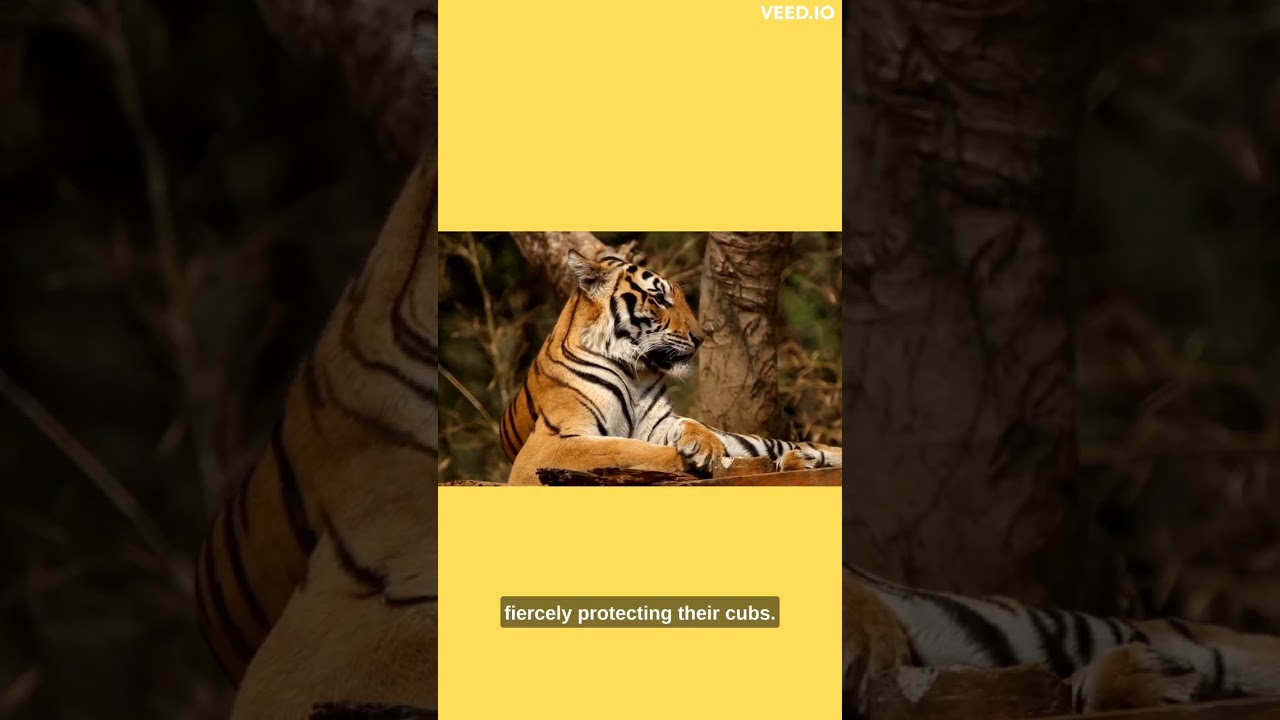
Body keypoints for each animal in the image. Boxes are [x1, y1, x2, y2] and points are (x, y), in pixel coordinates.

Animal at [498, 250, 843, 485]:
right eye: (659, 298)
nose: (701, 338)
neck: (635, 372)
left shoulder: (659, 422)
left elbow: (691, 425)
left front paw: (705, 444)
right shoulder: (547, 445)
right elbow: (625, 449)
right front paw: (702, 458)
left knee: (801, 445)